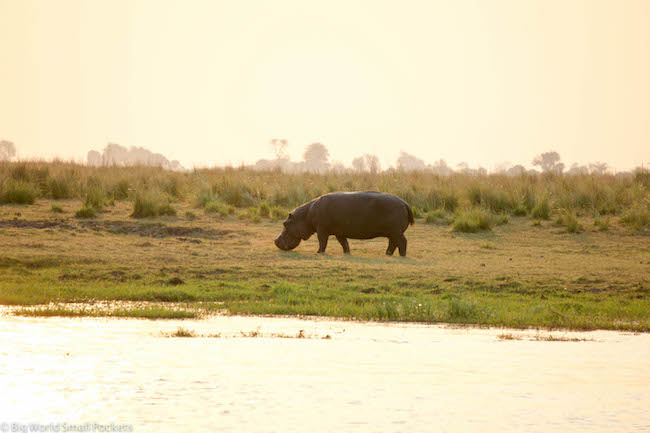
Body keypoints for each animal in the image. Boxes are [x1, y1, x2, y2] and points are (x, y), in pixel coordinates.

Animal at [272, 191, 412, 255]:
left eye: (285, 224)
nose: (276, 241)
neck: (305, 215)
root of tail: (405, 203)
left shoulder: (321, 230)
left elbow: (322, 242)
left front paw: (318, 253)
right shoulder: (339, 232)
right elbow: (344, 243)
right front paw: (347, 253)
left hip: (396, 232)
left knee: (403, 242)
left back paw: (402, 256)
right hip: (392, 233)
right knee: (393, 244)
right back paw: (387, 254)